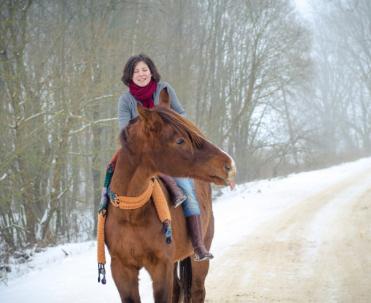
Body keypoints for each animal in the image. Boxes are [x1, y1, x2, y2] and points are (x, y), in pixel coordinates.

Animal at [104, 94, 237, 302]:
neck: (132, 213)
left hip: (199, 257)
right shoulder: (122, 269)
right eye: (180, 141)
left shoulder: (161, 267)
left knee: (198, 290)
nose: (229, 165)